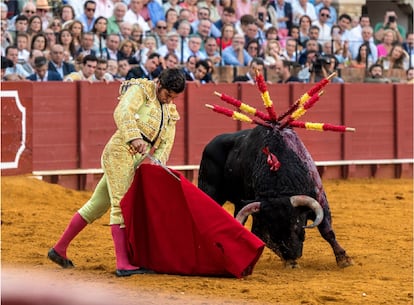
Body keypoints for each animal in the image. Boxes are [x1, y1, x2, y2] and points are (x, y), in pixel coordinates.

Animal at [197, 124, 352, 268]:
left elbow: (327, 230)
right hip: (209, 189)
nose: (293, 255)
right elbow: (264, 239)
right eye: (273, 231)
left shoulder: (320, 199)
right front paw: (289, 262)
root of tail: (210, 144)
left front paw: (344, 259)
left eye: (296, 226)